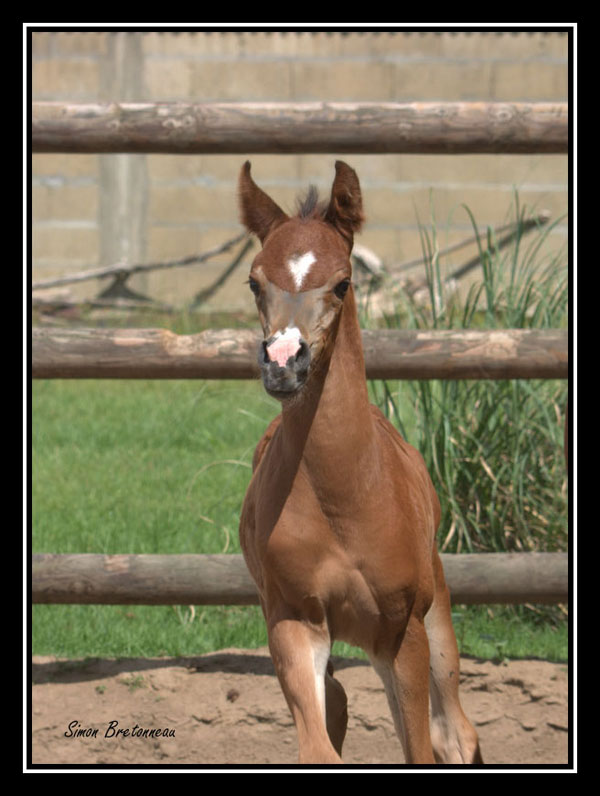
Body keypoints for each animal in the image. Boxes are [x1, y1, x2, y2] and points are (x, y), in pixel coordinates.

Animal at [237, 160, 480, 764]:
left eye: (343, 282)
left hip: (437, 611)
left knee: (455, 730)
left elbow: (421, 744)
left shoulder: (401, 632)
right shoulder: (292, 618)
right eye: (255, 281)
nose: (283, 364)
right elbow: (319, 744)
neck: (344, 500)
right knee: (340, 703)